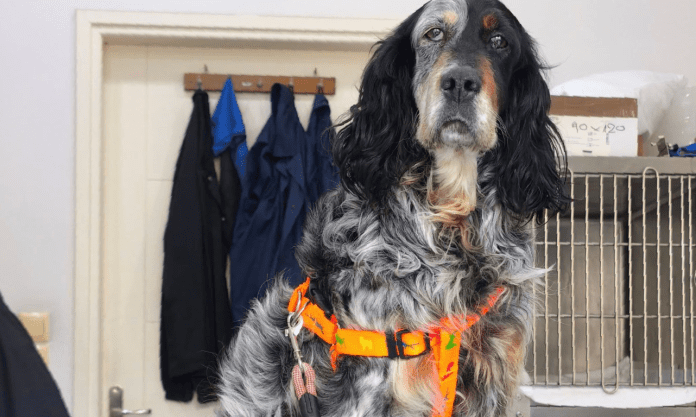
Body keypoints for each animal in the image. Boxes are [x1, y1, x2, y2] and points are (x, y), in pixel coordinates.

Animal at [217, 0, 569, 416]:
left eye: (500, 41)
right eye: (433, 33)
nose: (460, 83)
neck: (452, 225)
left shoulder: (496, 375)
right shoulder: (377, 383)